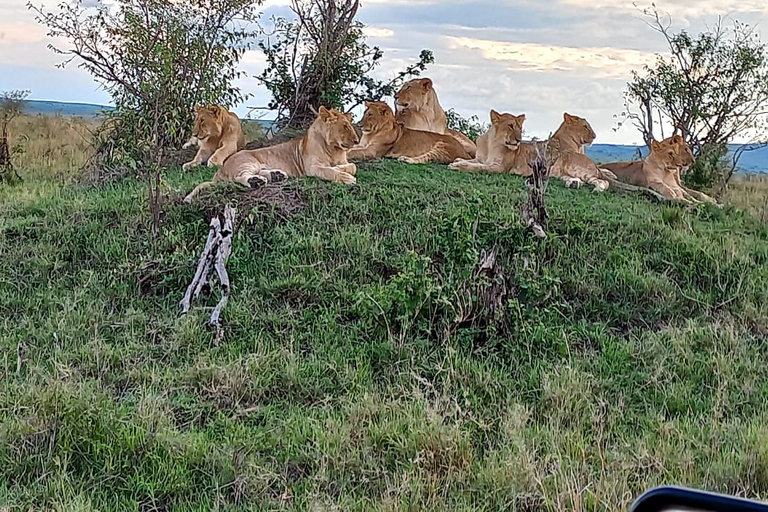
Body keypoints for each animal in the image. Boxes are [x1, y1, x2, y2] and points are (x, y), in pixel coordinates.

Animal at [182, 105, 356, 202]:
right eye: (345, 126)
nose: (356, 140)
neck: (334, 149)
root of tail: (219, 172)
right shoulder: (312, 168)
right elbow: (329, 171)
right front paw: (345, 177)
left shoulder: (343, 161)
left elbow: (352, 166)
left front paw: (340, 169)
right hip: (248, 161)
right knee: (239, 177)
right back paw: (256, 182)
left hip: (259, 166)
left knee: (260, 173)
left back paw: (276, 176)